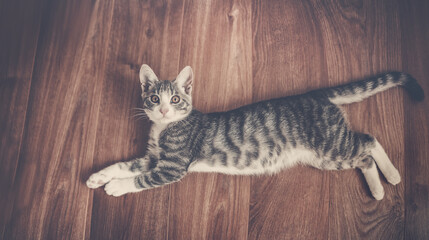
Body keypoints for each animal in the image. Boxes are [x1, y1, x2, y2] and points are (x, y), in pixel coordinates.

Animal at [85, 64, 422, 200]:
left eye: (176, 100)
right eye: (154, 99)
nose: (164, 110)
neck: (164, 129)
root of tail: (315, 95)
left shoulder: (171, 166)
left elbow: (140, 179)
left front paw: (115, 187)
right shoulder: (153, 158)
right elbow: (125, 165)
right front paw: (98, 177)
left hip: (331, 145)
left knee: (368, 141)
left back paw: (390, 178)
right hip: (326, 157)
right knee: (364, 155)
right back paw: (380, 187)